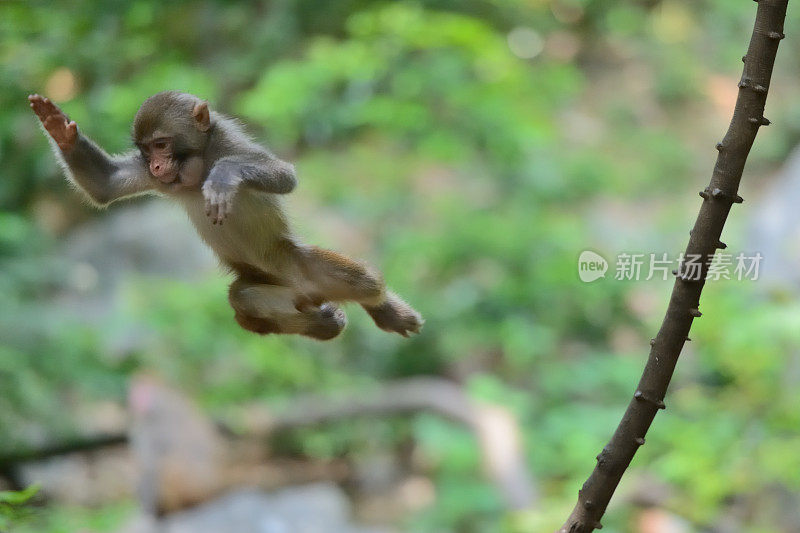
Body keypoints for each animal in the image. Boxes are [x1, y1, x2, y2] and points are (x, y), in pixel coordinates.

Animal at [28, 93, 422, 338]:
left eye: (161, 144)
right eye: (145, 150)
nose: (155, 165)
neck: (195, 167)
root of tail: (304, 290)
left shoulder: (229, 146)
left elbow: (284, 175)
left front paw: (224, 177)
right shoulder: (160, 181)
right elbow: (104, 185)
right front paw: (60, 131)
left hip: (299, 263)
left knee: (366, 281)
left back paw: (383, 309)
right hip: (267, 284)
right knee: (242, 299)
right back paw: (321, 324)